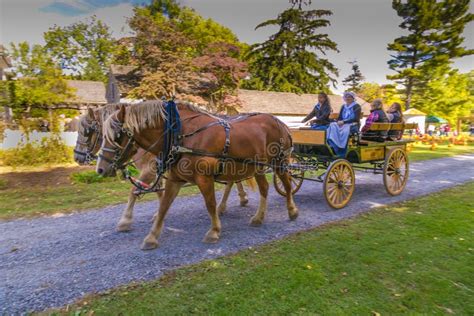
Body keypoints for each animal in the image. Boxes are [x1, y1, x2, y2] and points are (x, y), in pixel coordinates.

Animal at [72, 103, 250, 232]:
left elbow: (134, 191)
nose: (77, 157)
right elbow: (158, 192)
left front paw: (125, 221)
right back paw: (236, 200)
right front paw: (159, 213)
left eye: (87, 132)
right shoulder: (160, 170)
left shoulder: (150, 170)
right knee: (233, 181)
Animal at [96, 100, 298, 251]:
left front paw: (214, 231)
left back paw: (292, 210)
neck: (180, 134)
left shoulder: (204, 178)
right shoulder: (175, 179)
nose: (100, 169)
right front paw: (151, 237)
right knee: (264, 188)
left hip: (280, 163)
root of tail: (279, 122)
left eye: (116, 135)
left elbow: (210, 204)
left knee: (287, 185)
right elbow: (163, 206)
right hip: (257, 168)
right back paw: (258, 217)